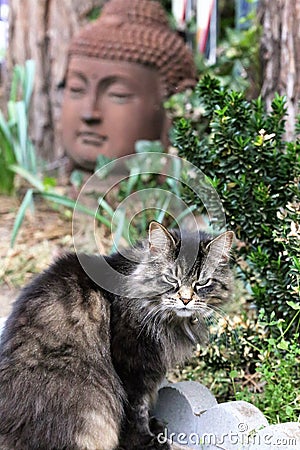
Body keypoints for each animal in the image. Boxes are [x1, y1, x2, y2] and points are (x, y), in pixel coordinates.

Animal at [0, 222, 234, 450]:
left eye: (202, 282)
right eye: (170, 278)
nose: (185, 300)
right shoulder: (130, 365)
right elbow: (136, 411)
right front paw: (146, 441)